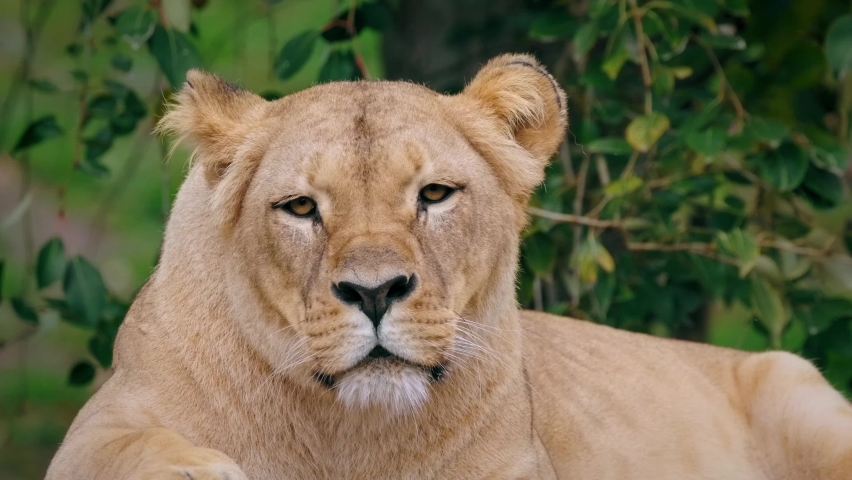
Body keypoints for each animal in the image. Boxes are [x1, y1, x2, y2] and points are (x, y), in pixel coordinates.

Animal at [47, 54, 852, 480]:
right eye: (301, 208)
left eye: (434, 194)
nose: (374, 292)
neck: (351, 436)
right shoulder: (106, 420)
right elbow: (125, 452)